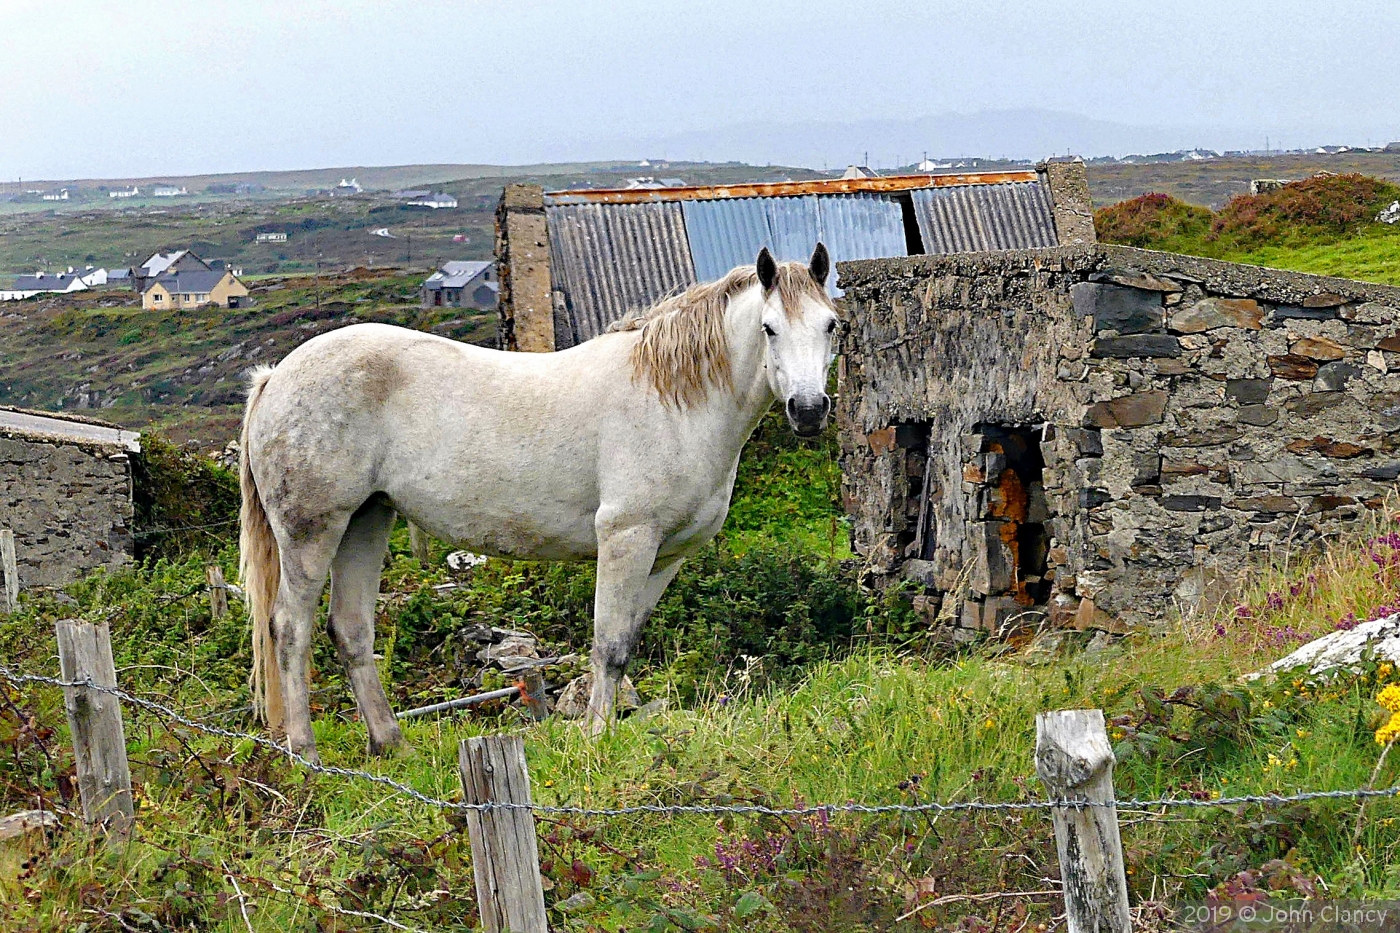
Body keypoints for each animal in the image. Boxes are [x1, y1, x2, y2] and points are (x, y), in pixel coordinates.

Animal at [240, 243, 834, 762]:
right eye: (769, 328)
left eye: (831, 324)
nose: (808, 411)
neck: (673, 401)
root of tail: (275, 377)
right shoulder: (626, 539)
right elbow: (608, 645)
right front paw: (595, 739)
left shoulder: (667, 557)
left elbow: (627, 643)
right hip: (313, 531)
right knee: (289, 628)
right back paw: (305, 752)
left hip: (367, 520)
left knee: (351, 630)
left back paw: (392, 744)